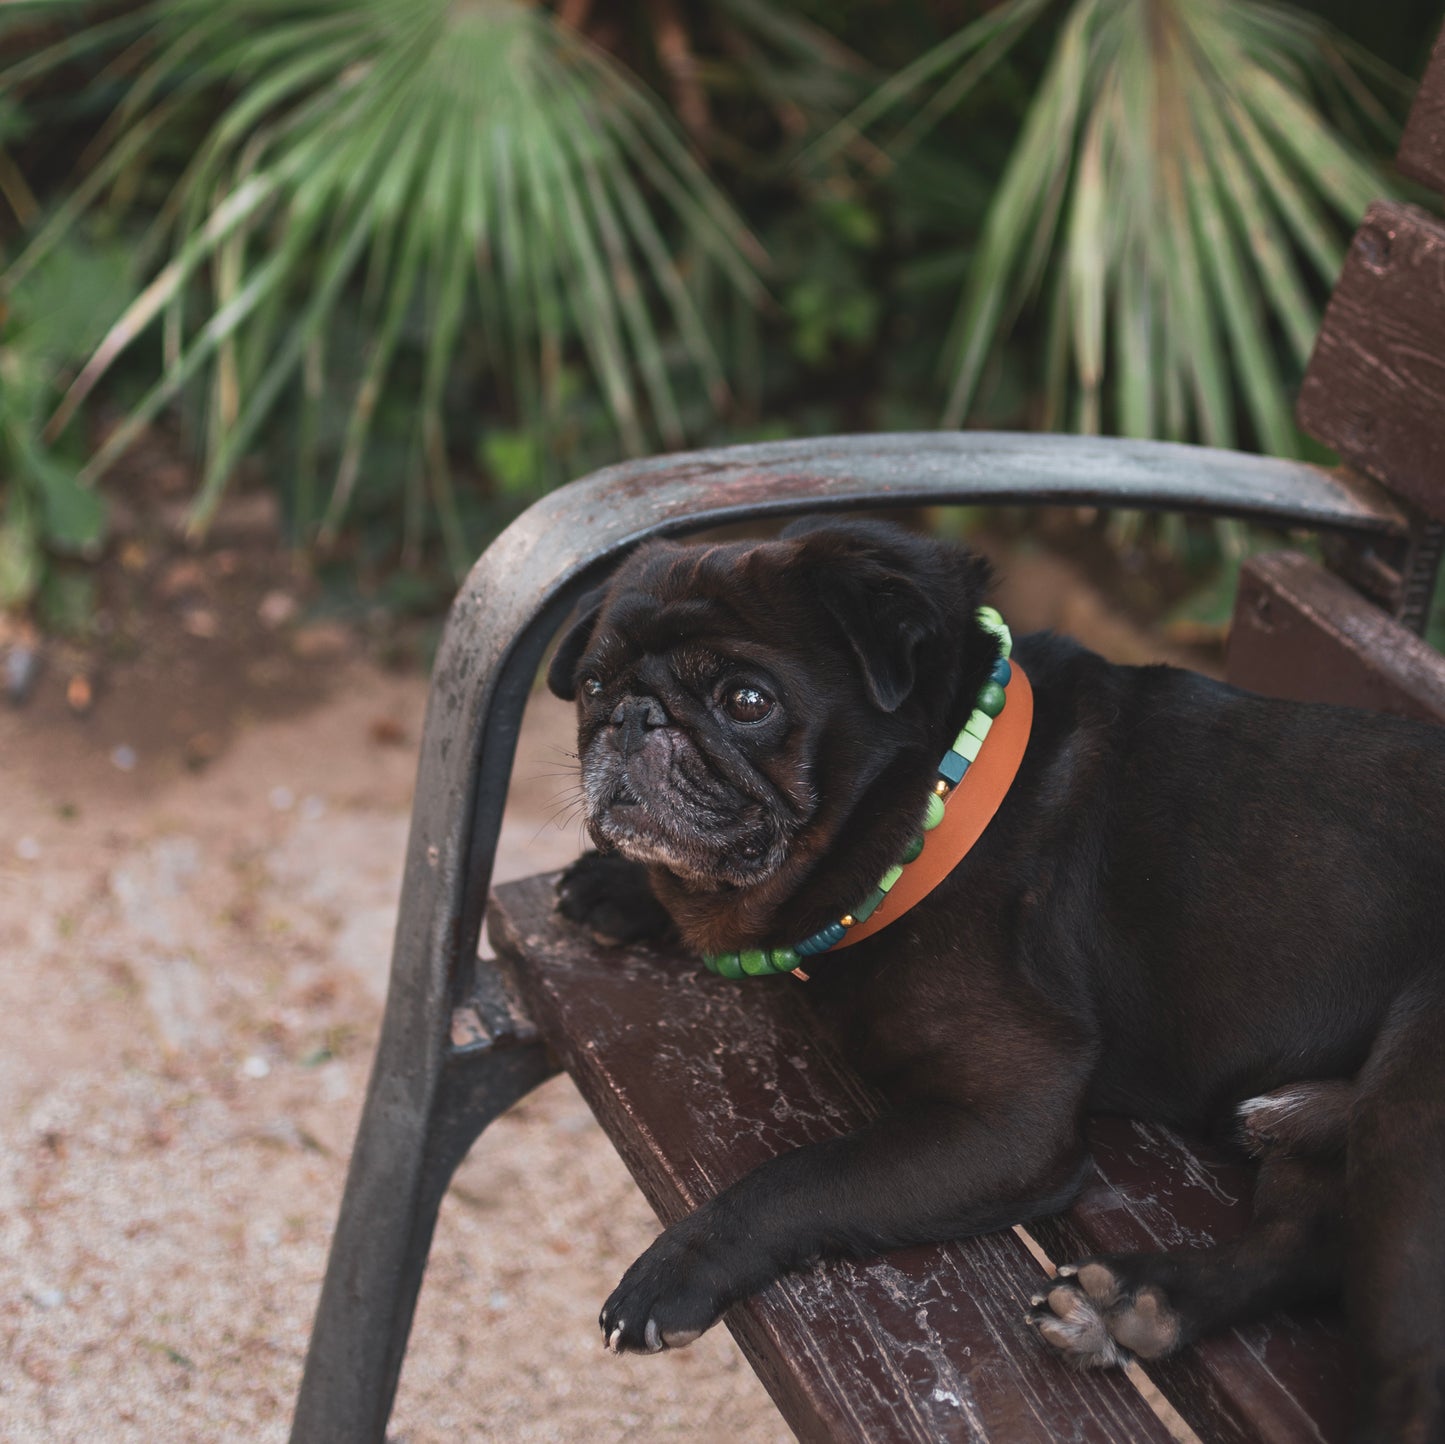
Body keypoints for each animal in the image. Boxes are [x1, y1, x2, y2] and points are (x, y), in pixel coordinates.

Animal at [543, 514, 1445, 1439]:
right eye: (592, 684)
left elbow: (797, 1178)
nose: (632, 716)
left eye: (746, 703)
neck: (927, 804)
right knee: (1305, 1246)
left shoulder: (1006, 1121)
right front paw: (619, 887)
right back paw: (1141, 1301)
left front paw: (678, 1263)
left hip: (1409, 1131)